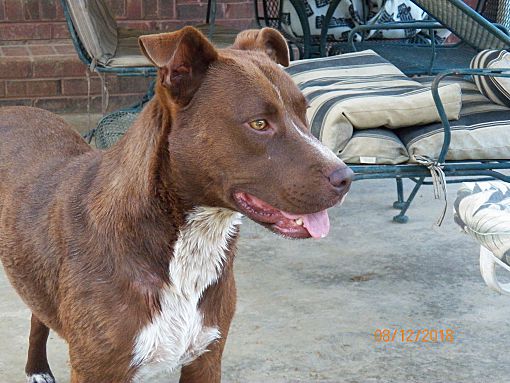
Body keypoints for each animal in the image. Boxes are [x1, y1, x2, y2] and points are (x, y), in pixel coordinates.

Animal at [0, 27, 350, 383]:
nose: (345, 178)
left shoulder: (207, 356)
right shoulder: (96, 369)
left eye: (304, 112)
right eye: (259, 124)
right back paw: (36, 369)